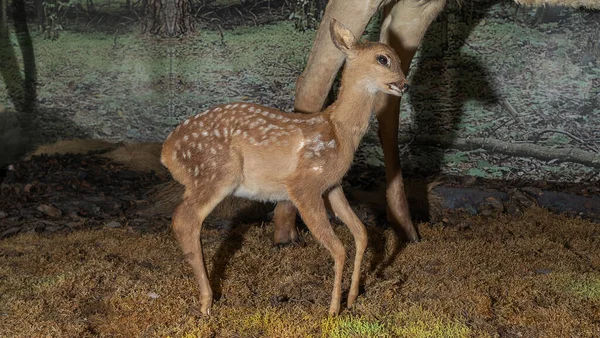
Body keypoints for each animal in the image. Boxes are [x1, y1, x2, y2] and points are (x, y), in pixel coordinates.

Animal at [162, 17, 410, 314]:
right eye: (383, 59)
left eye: (399, 58)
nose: (405, 85)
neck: (339, 131)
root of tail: (167, 151)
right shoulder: (304, 185)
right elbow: (339, 248)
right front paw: (333, 310)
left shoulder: (332, 185)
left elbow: (361, 233)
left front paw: (351, 299)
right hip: (217, 173)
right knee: (185, 219)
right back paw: (206, 303)